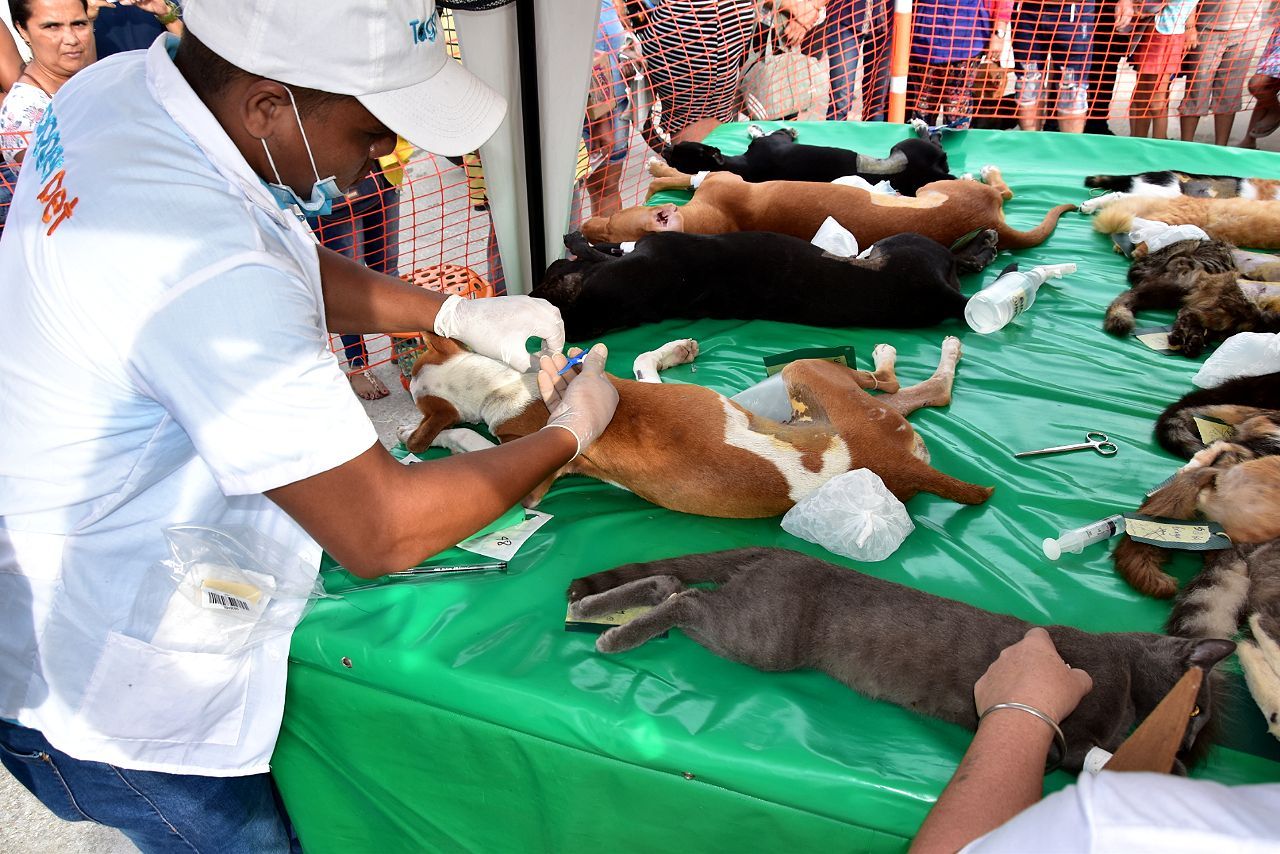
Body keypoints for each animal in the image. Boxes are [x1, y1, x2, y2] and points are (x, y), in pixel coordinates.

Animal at [396, 338, 988, 517]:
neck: (504, 386)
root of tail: (895, 463)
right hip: (829, 392)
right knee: (912, 393)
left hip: (806, 371)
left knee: (895, 384)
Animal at [565, 547, 1233, 773]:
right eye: (1197, 713)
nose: (1192, 743)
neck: (1128, 668)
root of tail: (781, 553)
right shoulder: (1076, 732)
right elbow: (1098, 752)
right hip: (761, 639)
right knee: (681, 597)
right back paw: (610, 635)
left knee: (667, 584)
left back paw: (593, 610)